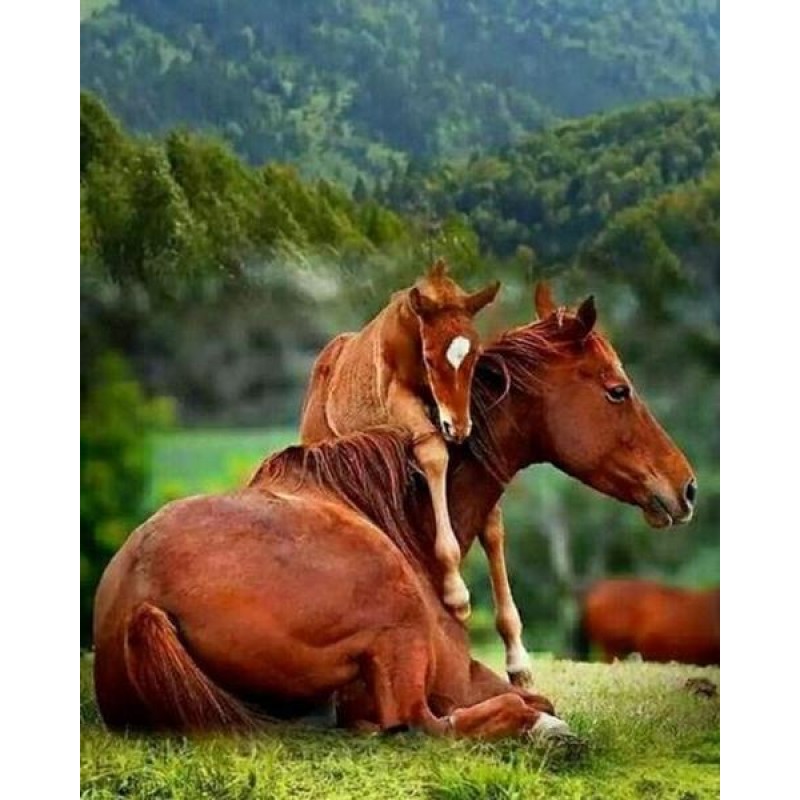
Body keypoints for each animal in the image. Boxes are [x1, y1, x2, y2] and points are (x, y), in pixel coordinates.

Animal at [299, 258, 500, 623]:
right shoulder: (399, 398)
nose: (458, 427)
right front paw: (456, 593)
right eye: (430, 358)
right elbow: (434, 453)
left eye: (475, 356)